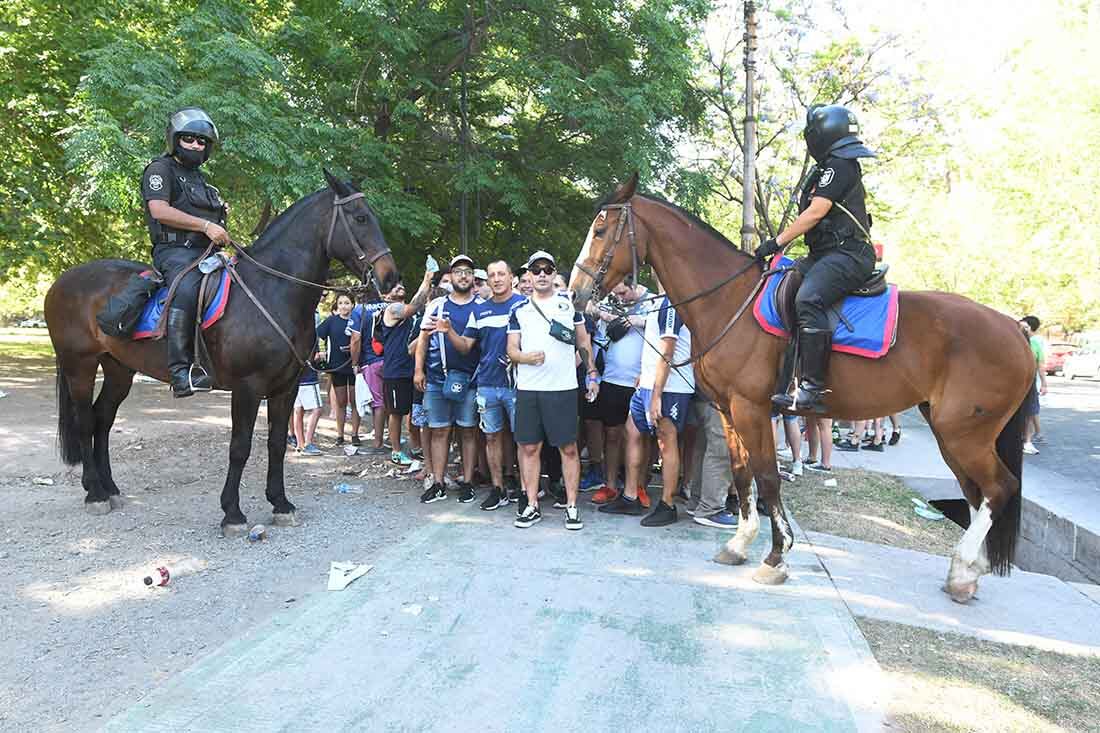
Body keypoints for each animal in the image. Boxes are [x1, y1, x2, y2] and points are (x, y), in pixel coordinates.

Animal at [48, 170, 400, 530]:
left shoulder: (285, 388)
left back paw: (109, 488)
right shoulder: (247, 387)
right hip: (80, 366)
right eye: (360, 218)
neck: (272, 290)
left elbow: (276, 444)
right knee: (85, 421)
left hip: (119, 368)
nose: (390, 278)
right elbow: (240, 447)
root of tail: (62, 281)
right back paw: (95, 493)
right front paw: (232, 512)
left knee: (103, 418)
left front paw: (280, 503)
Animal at [572, 173, 1034, 603]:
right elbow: (741, 474)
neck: (730, 300)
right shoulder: (728, 411)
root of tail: (1015, 328)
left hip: (964, 433)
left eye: (600, 230)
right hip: (953, 432)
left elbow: (767, 477)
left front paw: (776, 557)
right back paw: (968, 573)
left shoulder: (752, 409)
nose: (577, 293)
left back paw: (963, 567)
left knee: (999, 487)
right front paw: (739, 543)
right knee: (976, 492)